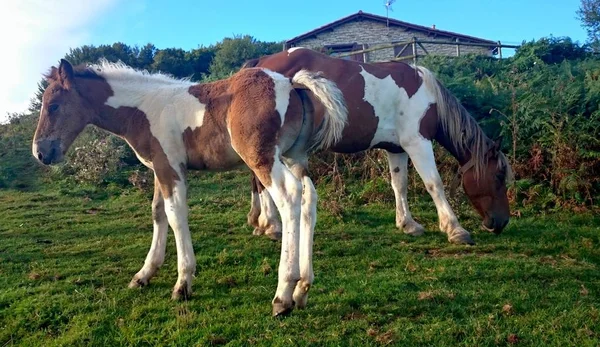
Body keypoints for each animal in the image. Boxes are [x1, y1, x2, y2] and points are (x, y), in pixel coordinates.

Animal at [31, 58, 352, 316]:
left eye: (54, 105)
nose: (40, 153)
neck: (142, 109)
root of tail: (290, 84)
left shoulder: (170, 167)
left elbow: (175, 216)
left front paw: (182, 283)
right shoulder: (160, 168)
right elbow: (158, 213)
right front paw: (144, 274)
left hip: (262, 157)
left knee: (289, 195)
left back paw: (283, 295)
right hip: (294, 156)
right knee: (309, 198)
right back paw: (302, 289)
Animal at [241, 48, 512, 245]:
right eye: (499, 175)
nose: (501, 223)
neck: (428, 96)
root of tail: (260, 62)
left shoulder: (397, 149)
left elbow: (399, 185)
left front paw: (407, 224)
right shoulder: (418, 142)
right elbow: (434, 184)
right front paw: (455, 229)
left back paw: (259, 221)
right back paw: (271, 225)